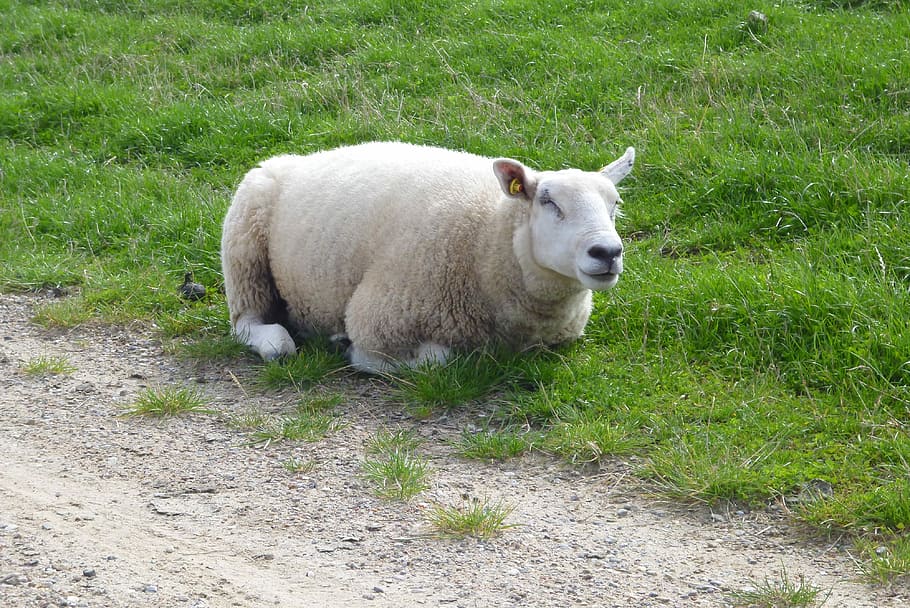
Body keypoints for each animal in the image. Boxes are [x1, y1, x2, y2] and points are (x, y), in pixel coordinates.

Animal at [221, 141, 634, 373]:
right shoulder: (377, 320)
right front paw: (350, 349)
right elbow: (436, 361)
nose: (607, 252)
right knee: (247, 323)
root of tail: (302, 158)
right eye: (549, 202)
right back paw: (277, 342)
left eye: (615, 204)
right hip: (244, 251)